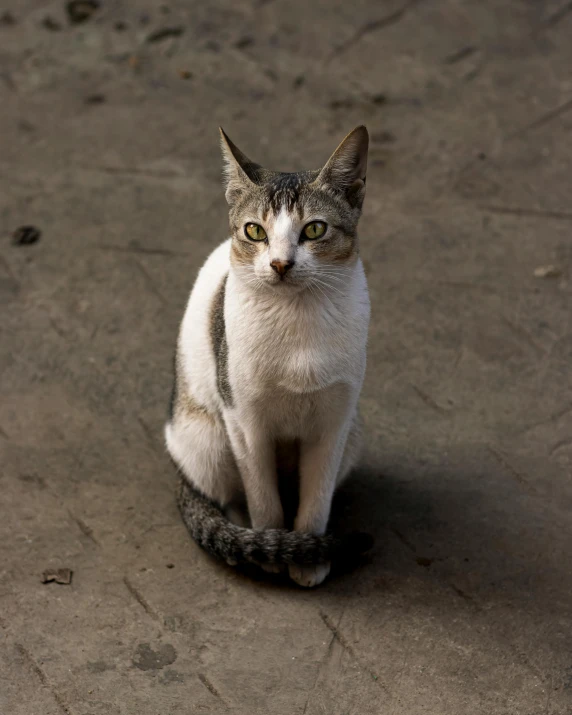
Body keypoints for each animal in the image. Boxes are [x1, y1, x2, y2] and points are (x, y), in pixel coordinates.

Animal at [165, 127, 370, 588]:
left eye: (315, 229)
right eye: (255, 231)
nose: (279, 264)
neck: (297, 317)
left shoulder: (335, 420)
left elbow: (316, 496)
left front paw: (309, 552)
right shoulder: (244, 418)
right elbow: (262, 493)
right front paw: (273, 546)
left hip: (354, 434)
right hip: (208, 436)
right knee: (224, 491)